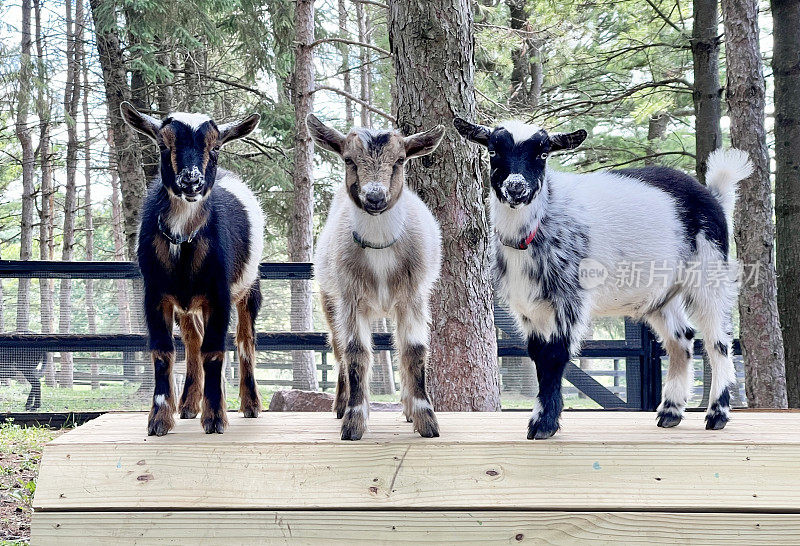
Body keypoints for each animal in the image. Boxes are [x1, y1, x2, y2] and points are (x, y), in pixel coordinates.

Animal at [120, 101, 262, 434]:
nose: (191, 181)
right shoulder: (154, 294)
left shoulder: (219, 294)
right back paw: (187, 405)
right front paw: (159, 419)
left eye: (216, 146)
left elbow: (214, 350)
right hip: (187, 305)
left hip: (250, 286)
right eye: (162, 143)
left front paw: (215, 418)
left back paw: (250, 405)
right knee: (193, 340)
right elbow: (163, 350)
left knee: (244, 339)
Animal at [304, 113, 444, 438]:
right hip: (328, 299)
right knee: (338, 349)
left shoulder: (413, 297)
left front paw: (425, 419)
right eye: (348, 159)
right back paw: (341, 405)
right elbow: (355, 352)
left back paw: (407, 408)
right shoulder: (350, 298)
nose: (375, 197)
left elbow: (414, 350)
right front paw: (354, 421)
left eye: (400, 160)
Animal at [454, 118, 752, 438]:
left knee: (718, 340)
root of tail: (714, 196)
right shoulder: (527, 308)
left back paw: (717, 414)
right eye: (493, 150)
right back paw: (670, 411)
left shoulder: (570, 298)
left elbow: (555, 355)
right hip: (661, 292)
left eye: (543, 154)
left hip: (709, 271)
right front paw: (546, 418)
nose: (516, 188)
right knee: (681, 338)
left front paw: (543, 424)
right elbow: (538, 355)